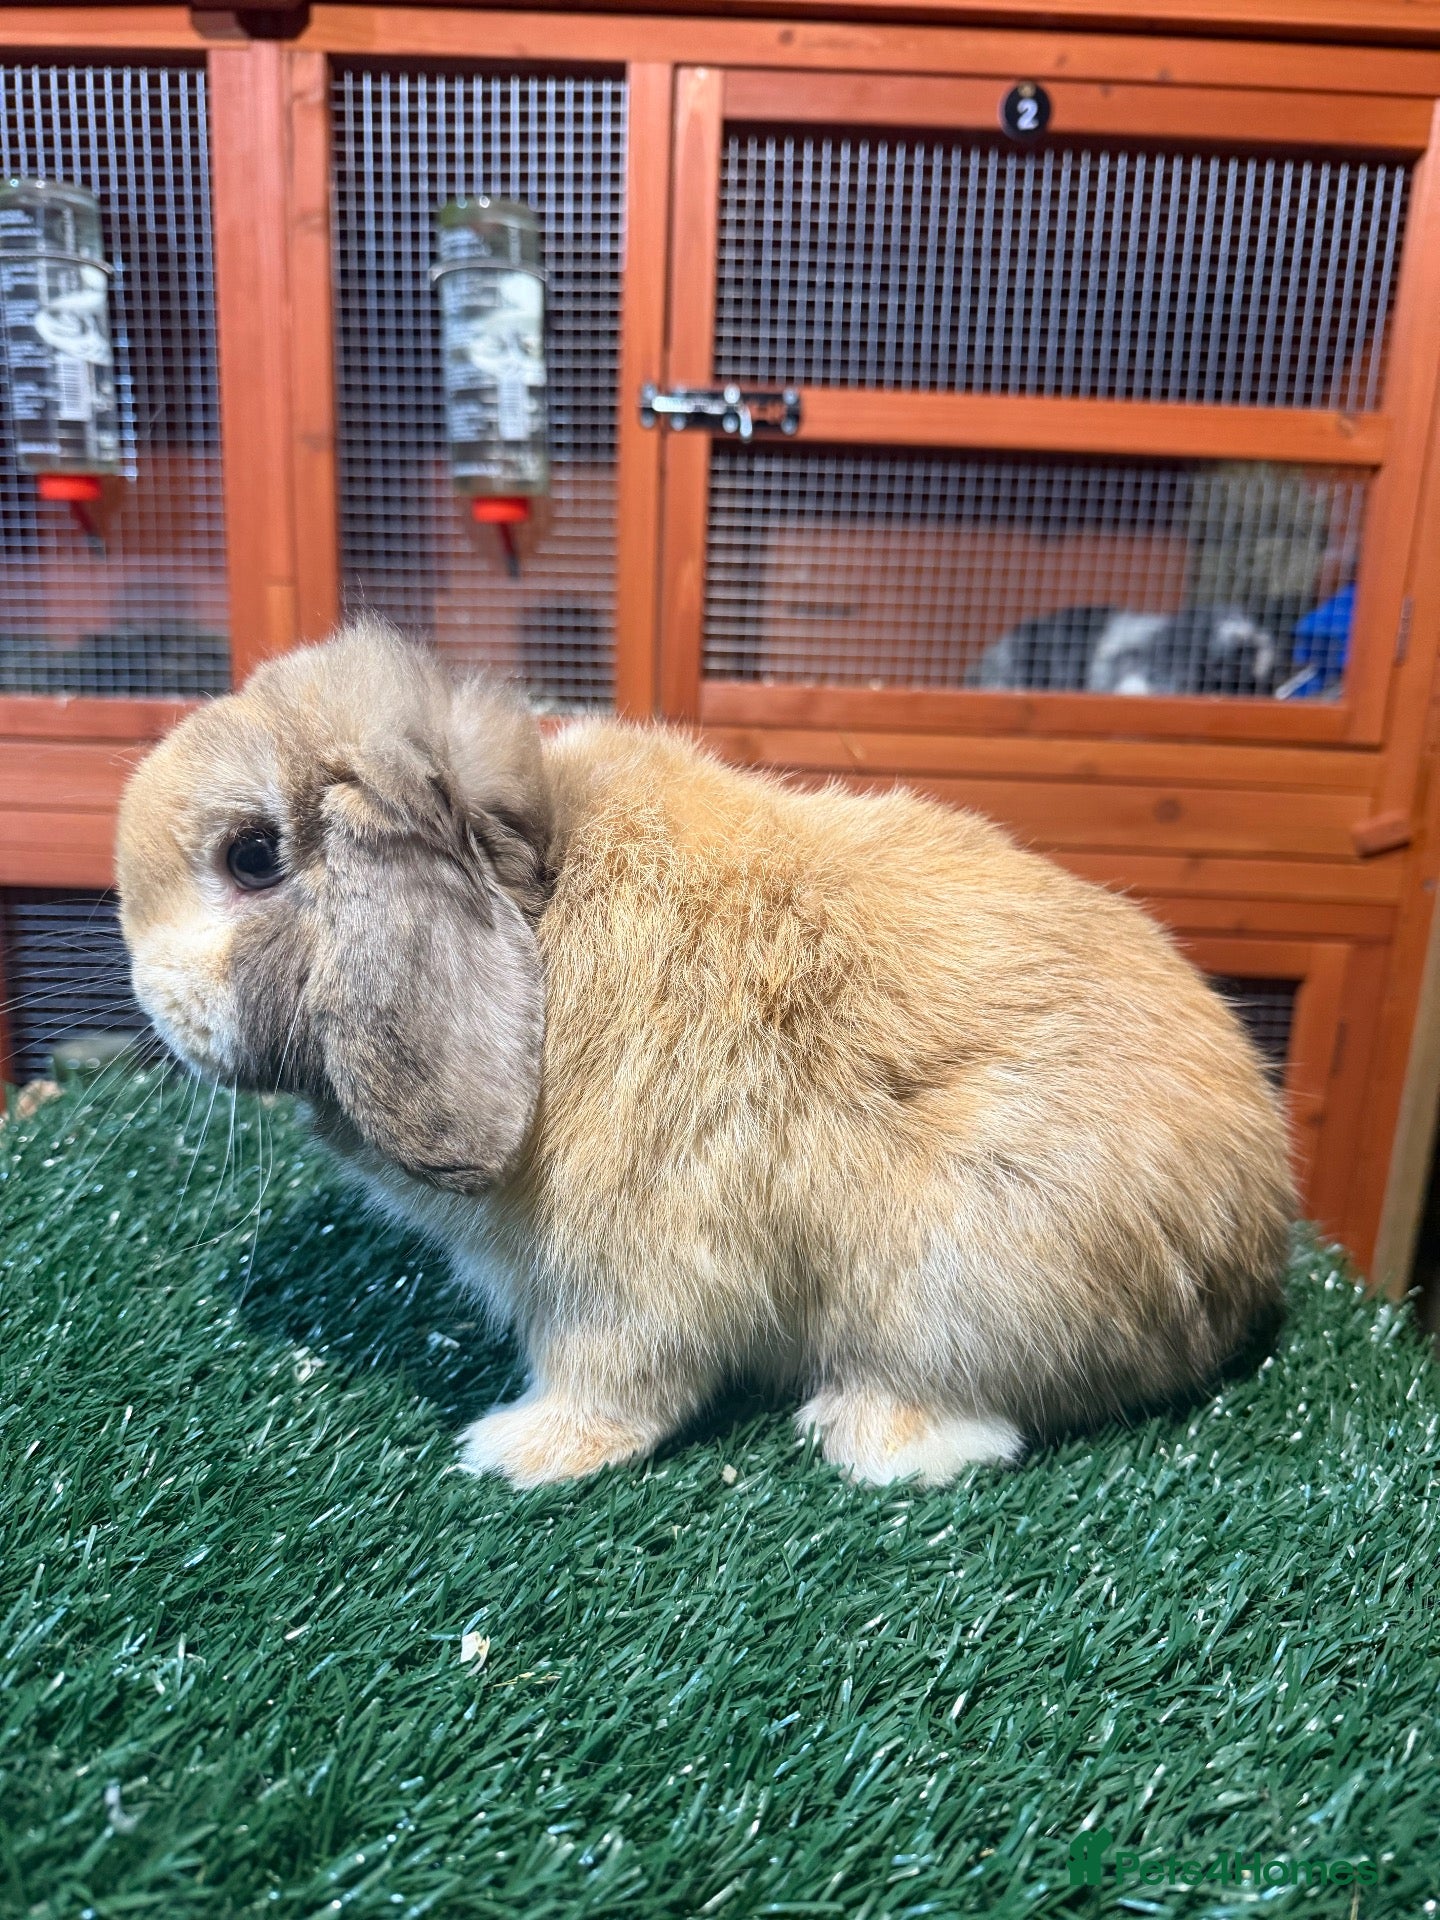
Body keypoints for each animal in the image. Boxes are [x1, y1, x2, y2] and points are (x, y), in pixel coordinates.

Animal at [115, 618, 1294, 1489]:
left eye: (252, 857)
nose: (148, 995)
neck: (540, 896)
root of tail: (1248, 1248)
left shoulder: (625, 1281)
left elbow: (618, 1382)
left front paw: (516, 1453)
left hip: (958, 1282)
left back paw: (864, 1435)